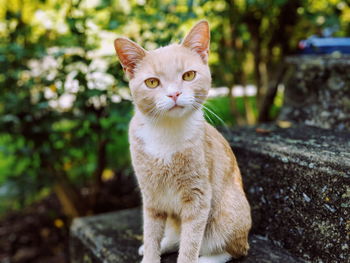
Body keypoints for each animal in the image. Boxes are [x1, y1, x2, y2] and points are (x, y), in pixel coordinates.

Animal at [113, 20, 250, 263]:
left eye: (188, 76)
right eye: (152, 82)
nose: (174, 94)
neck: (166, 132)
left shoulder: (198, 198)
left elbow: (190, 243)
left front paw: (189, 257)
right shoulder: (152, 198)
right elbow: (151, 235)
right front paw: (150, 254)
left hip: (227, 217)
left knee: (232, 250)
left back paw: (206, 259)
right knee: (173, 236)